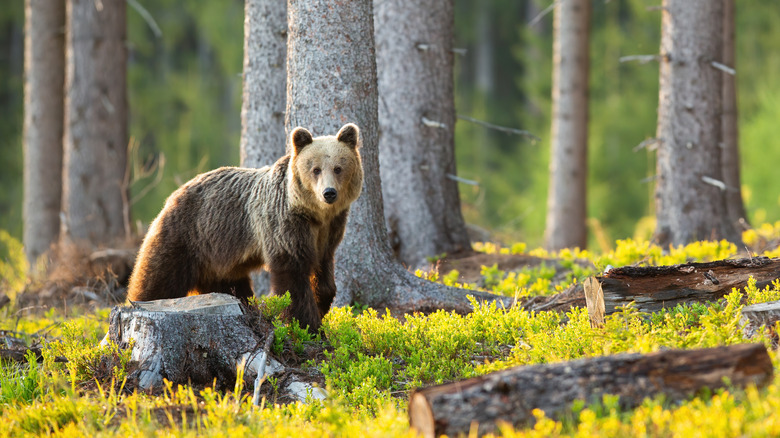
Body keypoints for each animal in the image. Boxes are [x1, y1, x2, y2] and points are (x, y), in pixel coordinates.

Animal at [126, 121, 364, 330]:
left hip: (219, 258)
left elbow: (324, 273)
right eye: (315, 169)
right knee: (159, 277)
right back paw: (139, 302)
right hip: (186, 234)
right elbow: (293, 277)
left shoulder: (330, 229)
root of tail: (174, 194)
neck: (314, 214)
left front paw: (321, 303)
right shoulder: (284, 224)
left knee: (230, 287)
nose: (329, 193)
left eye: (338, 168)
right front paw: (308, 324)